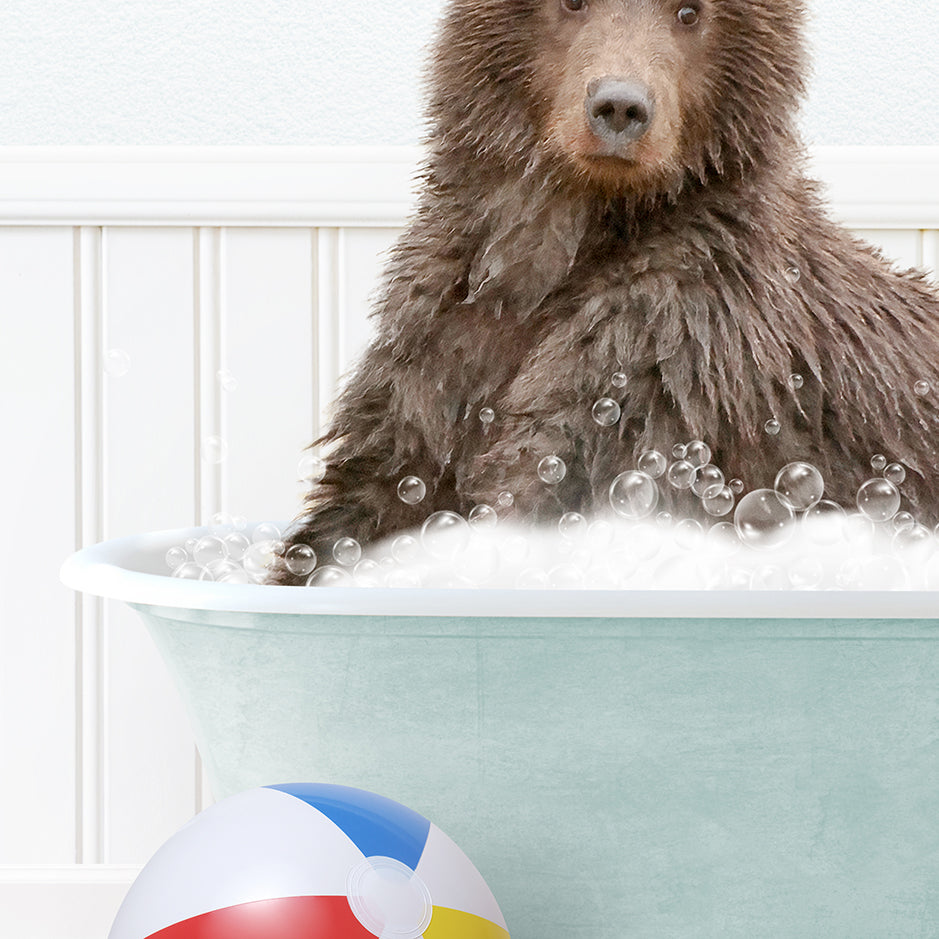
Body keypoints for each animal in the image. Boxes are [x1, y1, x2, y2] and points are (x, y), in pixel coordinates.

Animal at [270, 0, 939, 584]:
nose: (619, 107)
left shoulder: (666, 359)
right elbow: (368, 499)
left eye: (690, 11)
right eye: (572, 2)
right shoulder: (438, 355)